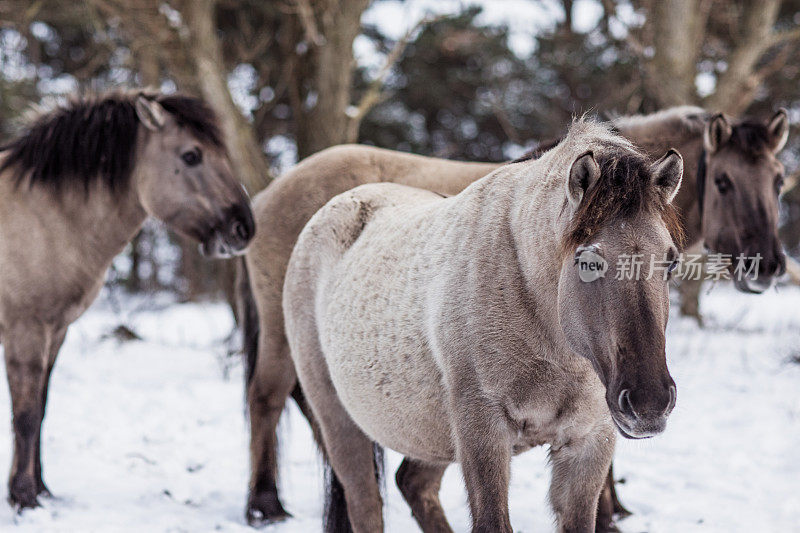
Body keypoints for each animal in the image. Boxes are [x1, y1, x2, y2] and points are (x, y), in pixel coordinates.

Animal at [282, 120, 680, 532]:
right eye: (589, 262)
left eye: (671, 261)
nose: (650, 404)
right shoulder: (483, 434)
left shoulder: (589, 441)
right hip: (338, 420)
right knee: (365, 503)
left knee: (415, 485)